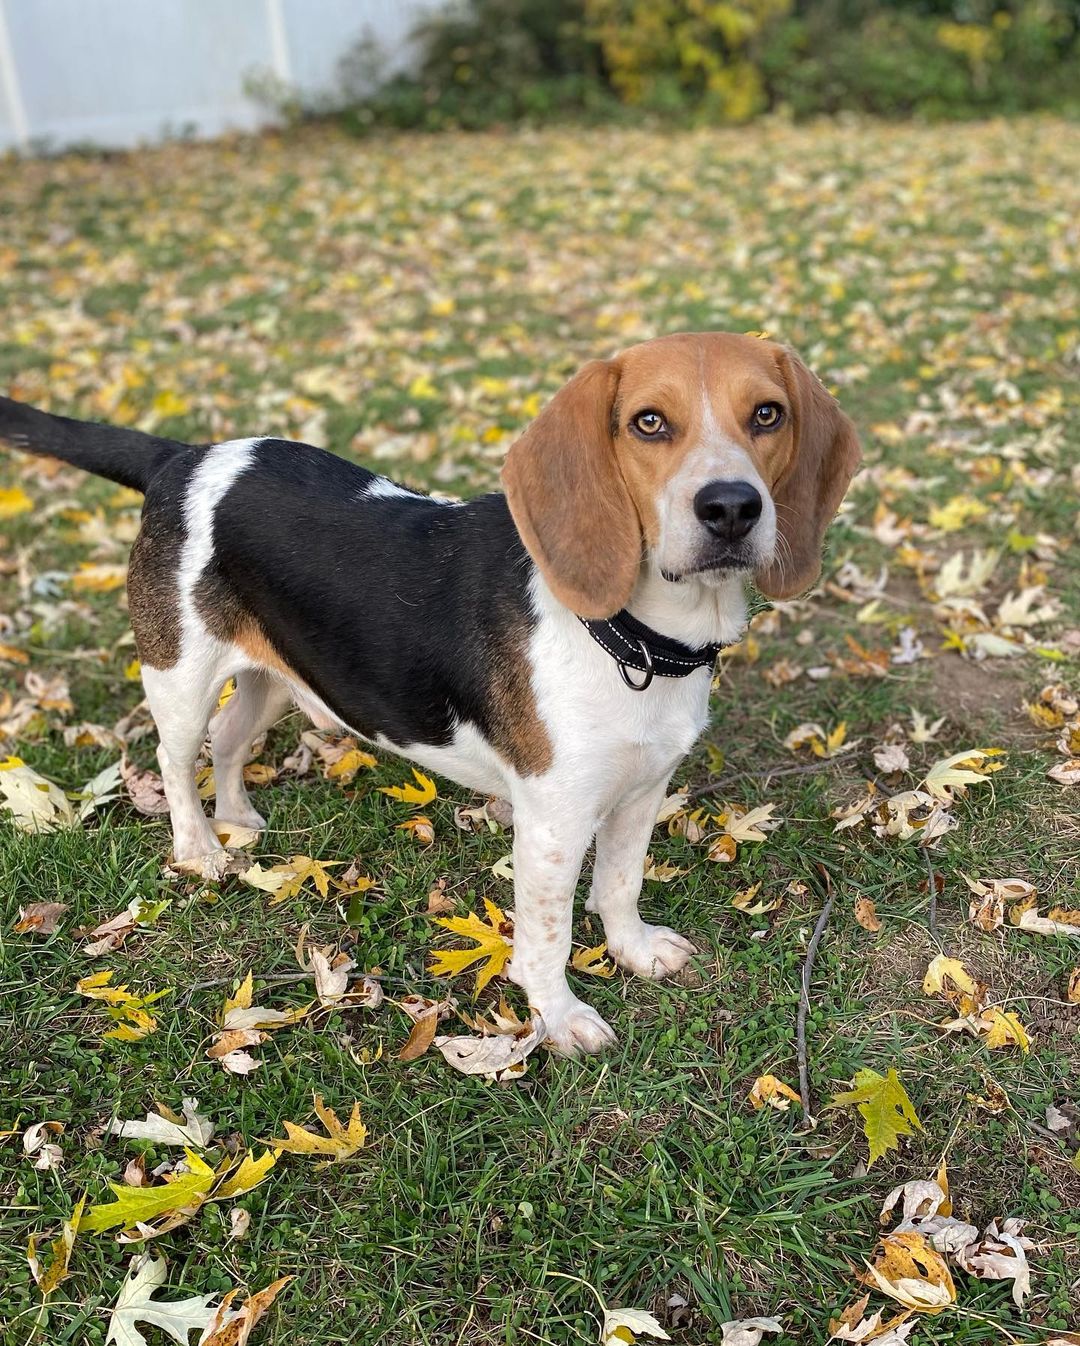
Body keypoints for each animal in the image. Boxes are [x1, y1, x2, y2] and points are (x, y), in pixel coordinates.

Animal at [0, 333, 856, 1049]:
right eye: (649, 422)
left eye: (767, 414)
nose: (731, 506)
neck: (632, 638)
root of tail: (184, 457)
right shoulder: (552, 822)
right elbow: (546, 936)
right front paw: (559, 1017)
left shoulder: (642, 790)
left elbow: (621, 883)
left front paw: (633, 949)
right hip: (178, 675)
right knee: (177, 763)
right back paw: (201, 849)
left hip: (278, 673)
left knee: (229, 739)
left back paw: (238, 819)